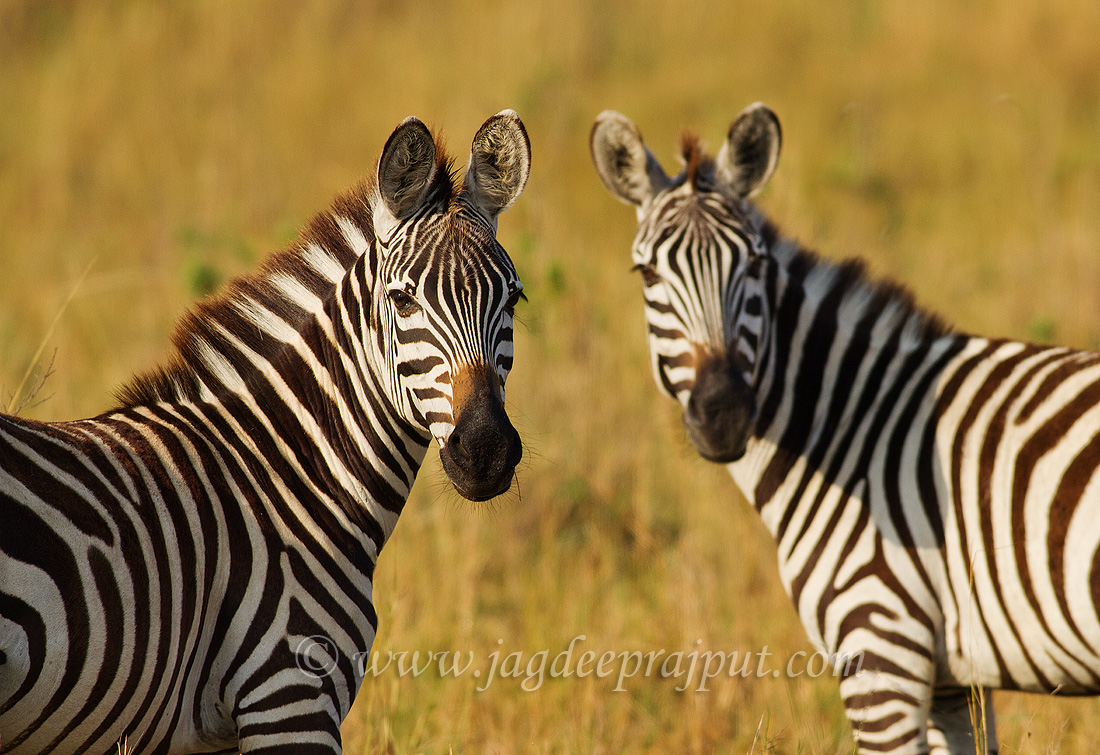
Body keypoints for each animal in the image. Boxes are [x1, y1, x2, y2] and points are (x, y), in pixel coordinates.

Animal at [592, 102, 1100, 754]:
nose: (724, 412)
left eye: (754, 263)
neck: (852, 429)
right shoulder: (951, 680)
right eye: (646, 274)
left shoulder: (879, 648)